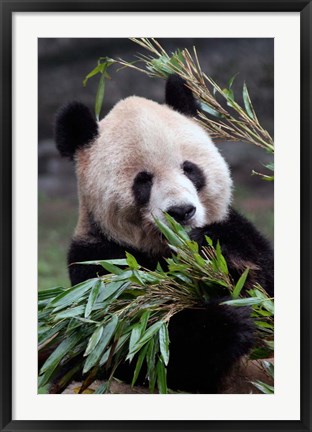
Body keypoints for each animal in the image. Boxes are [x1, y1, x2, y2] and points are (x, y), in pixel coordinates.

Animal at [55, 75, 272, 394]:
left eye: (190, 169)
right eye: (143, 181)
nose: (181, 212)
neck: (168, 249)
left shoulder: (241, 229)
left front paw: (216, 250)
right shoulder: (98, 266)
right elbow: (135, 349)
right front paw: (228, 322)